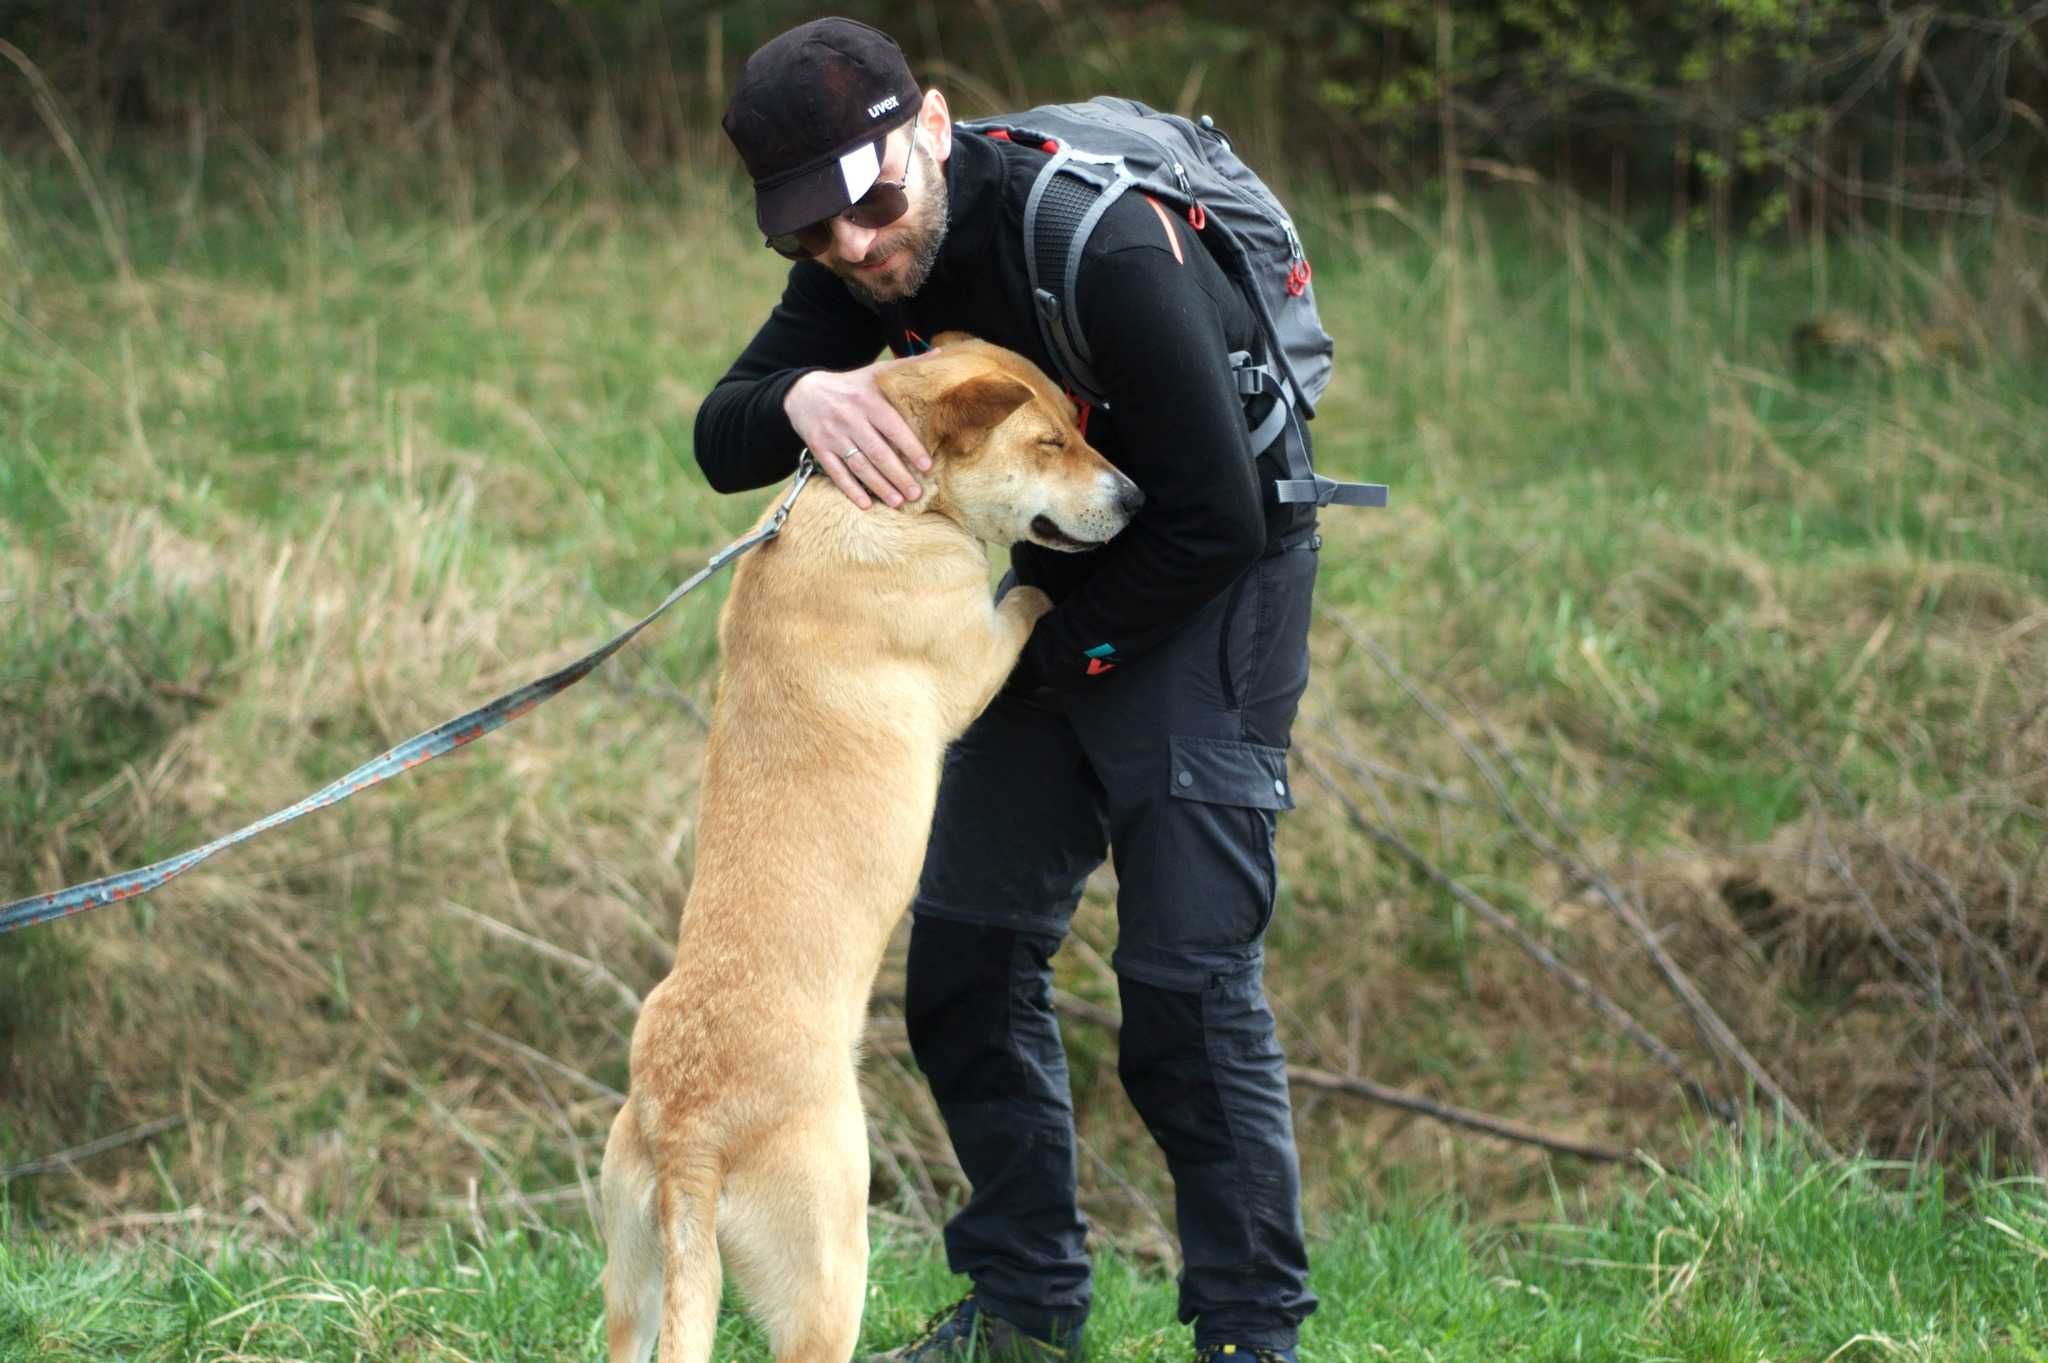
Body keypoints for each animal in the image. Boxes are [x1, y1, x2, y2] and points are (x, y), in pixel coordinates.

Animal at [598, 331, 1138, 1358]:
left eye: (1075, 426)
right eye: (1049, 441)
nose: (1133, 497)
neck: (878, 501)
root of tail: (690, 1130)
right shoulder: (976, 651)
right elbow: (1027, 595)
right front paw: (1044, 584)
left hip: (632, 1283)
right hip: (831, 1263)